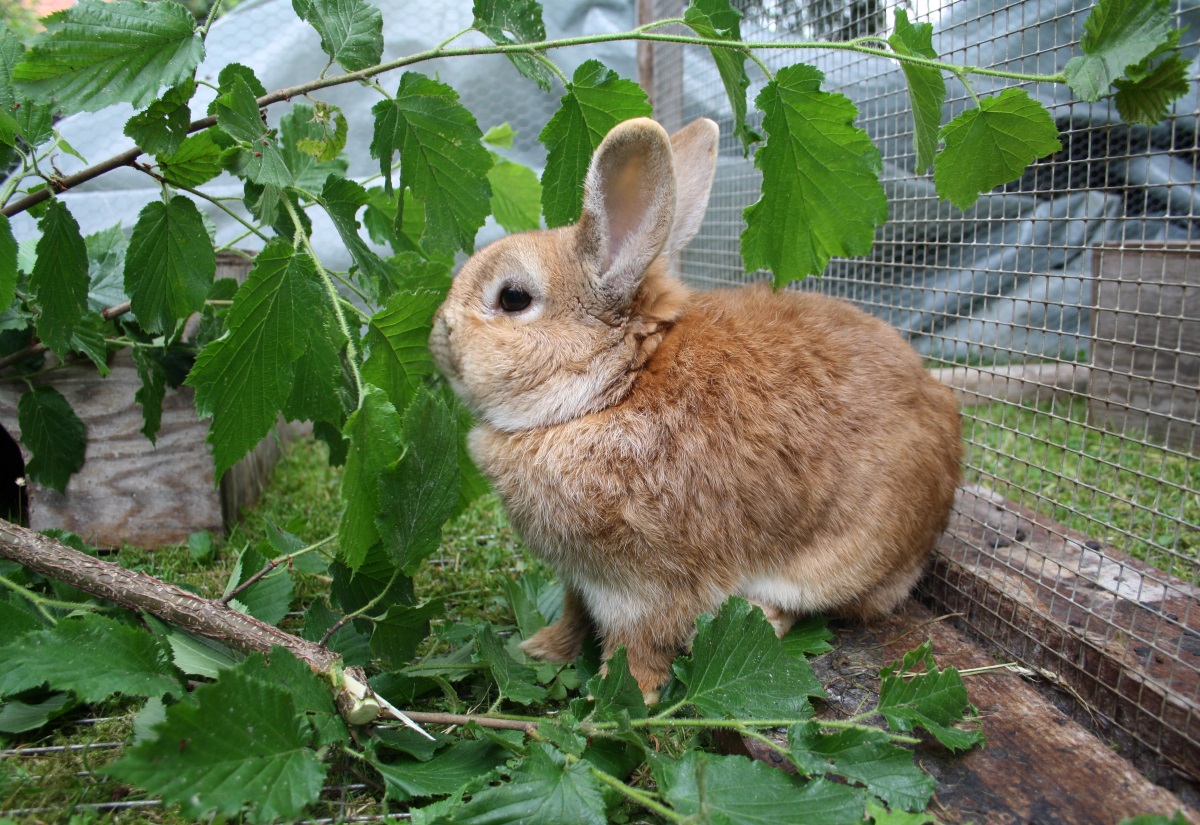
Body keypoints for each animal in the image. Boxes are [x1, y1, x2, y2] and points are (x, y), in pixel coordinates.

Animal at [428, 116, 962, 704]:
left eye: (514, 298)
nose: (439, 334)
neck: (615, 388)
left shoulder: (647, 589)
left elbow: (636, 649)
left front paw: (614, 701)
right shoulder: (579, 579)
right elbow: (573, 616)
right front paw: (541, 650)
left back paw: (761, 620)